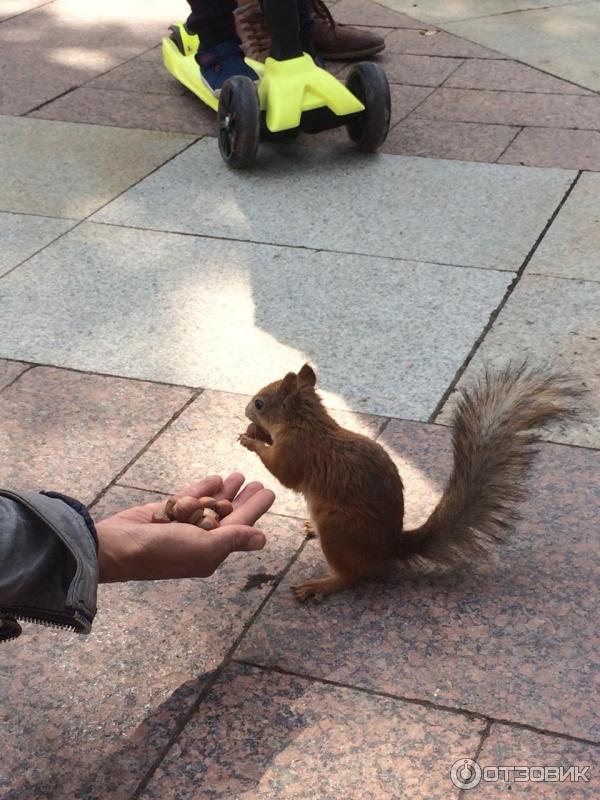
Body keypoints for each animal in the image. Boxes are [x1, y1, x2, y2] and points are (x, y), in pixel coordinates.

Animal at [238, 362, 576, 600]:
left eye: (260, 403)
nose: (245, 410)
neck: (307, 422)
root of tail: (390, 547)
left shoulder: (297, 452)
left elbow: (283, 473)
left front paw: (251, 441)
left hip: (339, 528)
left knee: (351, 576)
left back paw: (321, 585)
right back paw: (311, 529)